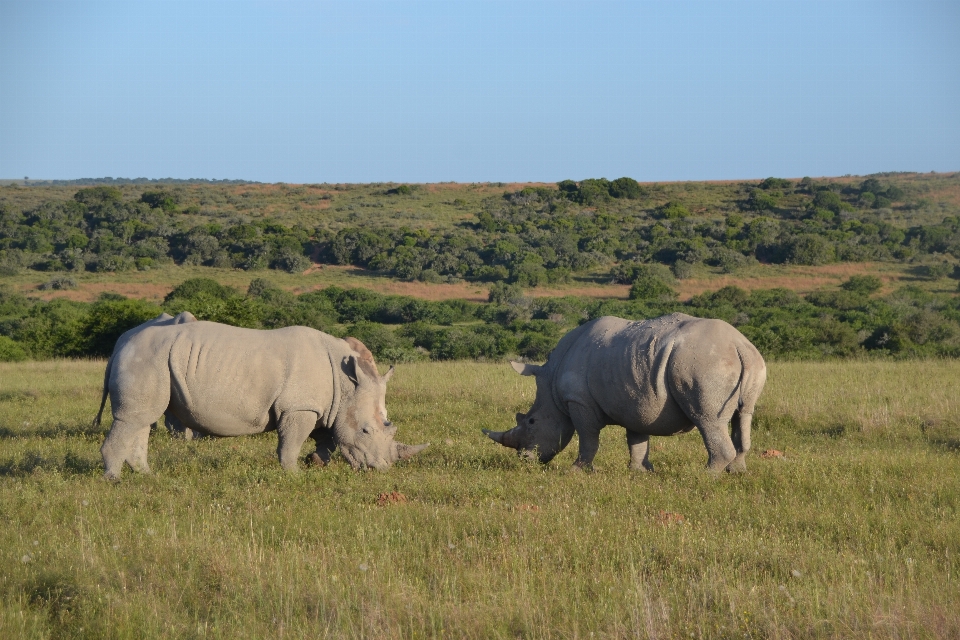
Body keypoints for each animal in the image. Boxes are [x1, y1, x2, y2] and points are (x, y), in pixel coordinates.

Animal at [99, 320, 426, 480]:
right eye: (366, 431)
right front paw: (294, 475)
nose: (381, 469)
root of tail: (120, 343)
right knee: (133, 419)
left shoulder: (325, 407)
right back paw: (114, 480)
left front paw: (316, 463)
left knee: (142, 419)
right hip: (147, 358)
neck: (347, 384)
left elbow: (327, 438)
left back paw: (147, 476)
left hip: (154, 360)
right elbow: (291, 442)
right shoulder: (299, 406)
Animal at [484, 312, 768, 472]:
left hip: (704, 364)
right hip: (749, 361)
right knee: (743, 414)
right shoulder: (635, 398)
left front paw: (576, 471)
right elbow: (637, 439)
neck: (551, 383)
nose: (524, 460)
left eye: (531, 422)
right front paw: (640, 471)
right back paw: (737, 472)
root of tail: (739, 344)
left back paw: (704, 475)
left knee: (707, 419)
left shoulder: (579, 401)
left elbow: (588, 438)